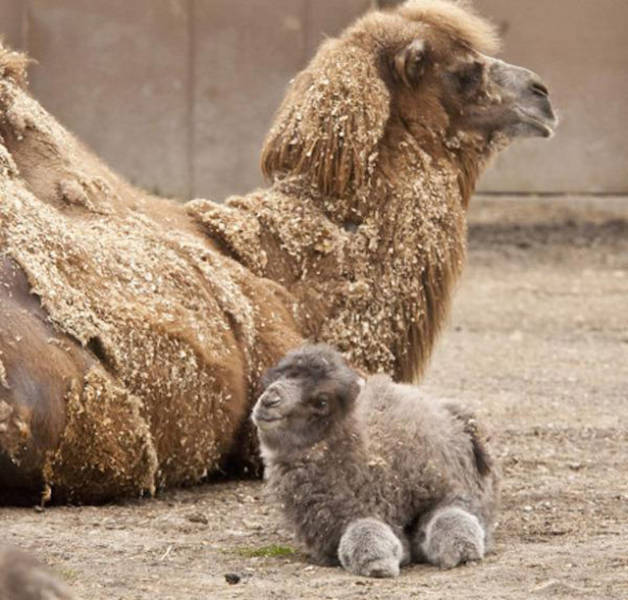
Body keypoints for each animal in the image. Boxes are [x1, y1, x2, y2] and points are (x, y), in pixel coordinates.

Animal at [253, 344, 498, 580]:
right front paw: (380, 563)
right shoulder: (339, 524)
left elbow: (450, 516)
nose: (268, 400)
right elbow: (363, 531)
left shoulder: (448, 489)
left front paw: (463, 550)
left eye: (322, 402)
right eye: (277, 377)